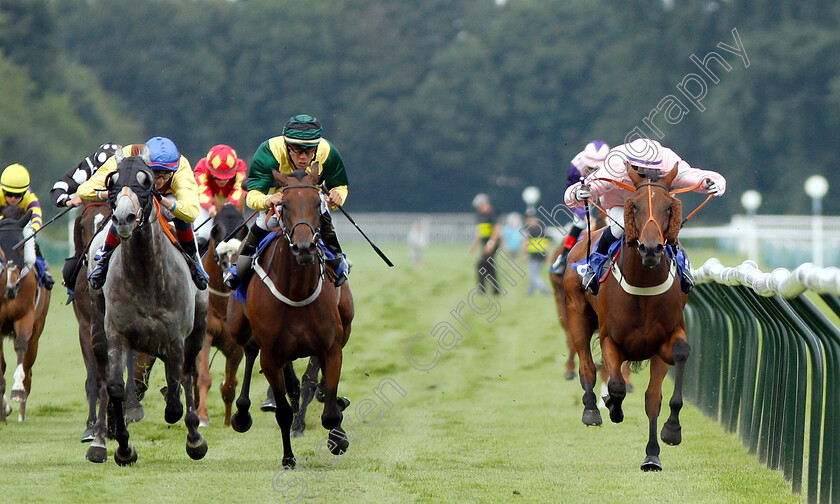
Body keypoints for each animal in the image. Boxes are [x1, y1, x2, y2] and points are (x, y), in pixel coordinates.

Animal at [85, 147, 210, 464]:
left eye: (147, 182)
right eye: (113, 181)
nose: (124, 217)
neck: (145, 276)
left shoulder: (176, 339)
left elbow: (176, 395)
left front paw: (193, 437)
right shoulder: (117, 335)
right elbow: (116, 387)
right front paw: (123, 446)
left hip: (198, 329)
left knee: (188, 375)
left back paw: (195, 437)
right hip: (97, 325)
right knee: (103, 379)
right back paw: (100, 440)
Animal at [228, 166, 352, 468]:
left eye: (318, 206)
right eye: (284, 205)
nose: (304, 248)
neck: (296, 290)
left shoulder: (331, 347)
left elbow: (330, 410)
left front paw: (338, 438)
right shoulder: (271, 355)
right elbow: (282, 411)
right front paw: (288, 457)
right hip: (239, 327)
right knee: (249, 351)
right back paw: (242, 413)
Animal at [564, 166, 688, 472]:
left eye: (669, 207)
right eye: (636, 206)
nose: (651, 249)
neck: (643, 286)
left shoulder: (664, 341)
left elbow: (655, 396)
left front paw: (662, 442)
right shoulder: (611, 339)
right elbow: (617, 385)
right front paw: (612, 406)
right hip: (576, 313)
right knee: (587, 365)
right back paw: (592, 409)